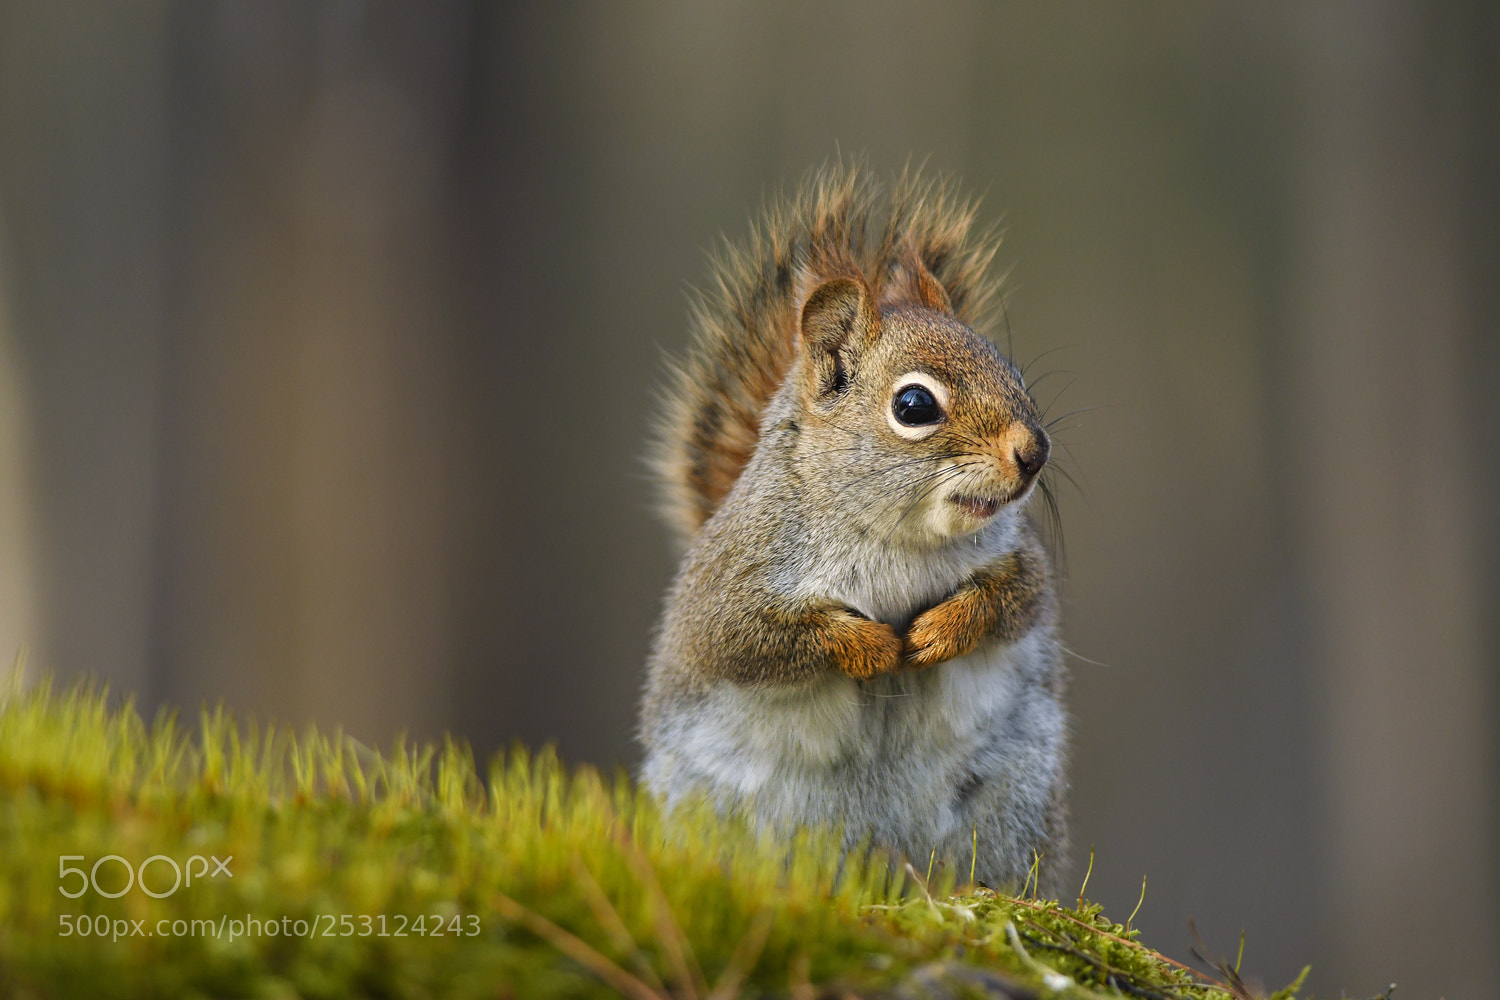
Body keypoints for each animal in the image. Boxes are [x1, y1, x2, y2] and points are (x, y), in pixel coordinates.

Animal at [639, 163, 1068, 892]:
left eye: (1010, 370)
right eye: (915, 405)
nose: (1033, 452)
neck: (895, 535)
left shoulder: (1018, 558)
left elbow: (1012, 599)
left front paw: (939, 631)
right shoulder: (728, 591)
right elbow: (760, 640)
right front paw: (869, 647)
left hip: (1011, 791)